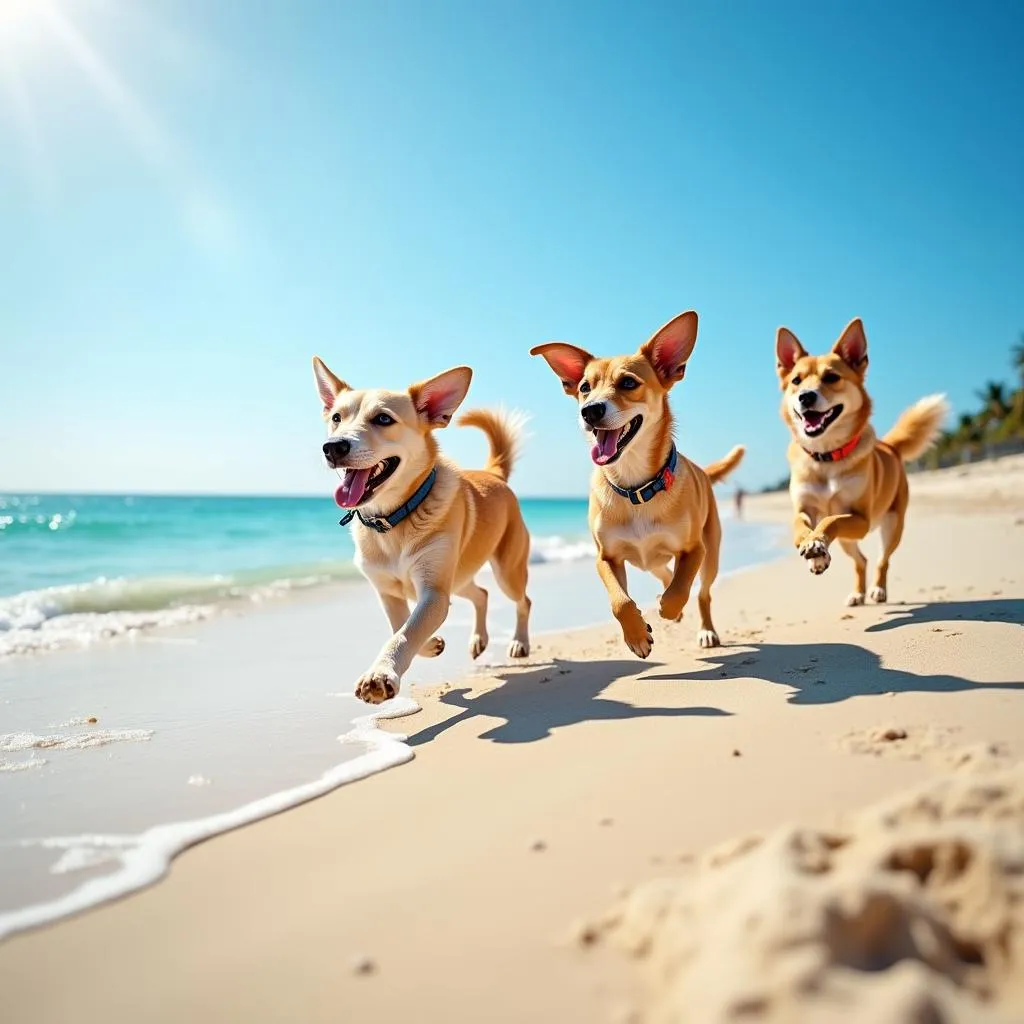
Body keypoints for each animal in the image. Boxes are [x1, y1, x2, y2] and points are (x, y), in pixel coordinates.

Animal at [528, 311, 745, 659]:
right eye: (585, 387)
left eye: (628, 383)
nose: (589, 411)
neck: (635, 487)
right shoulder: (606, 557)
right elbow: (621, 601)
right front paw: (637, 634)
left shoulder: (693, 549)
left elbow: (680, 589)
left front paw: (668, 608)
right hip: (650, 562)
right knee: (665, 573)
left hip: (710, 554)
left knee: (702, 592)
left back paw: (705, 629)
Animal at [774, 319, 950, 602]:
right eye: (796, 381)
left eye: (831, 377)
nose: (805, 396)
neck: (826, 457)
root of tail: (890, 446)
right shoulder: (804, 508)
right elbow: (800, 525)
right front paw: (813, 546)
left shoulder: (860, 519)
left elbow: (831, 520)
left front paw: (817, 542)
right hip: (848, 541)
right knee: (861, 561)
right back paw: (854, 590)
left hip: (892, 526)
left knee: (881, 560)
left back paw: (878, 589)